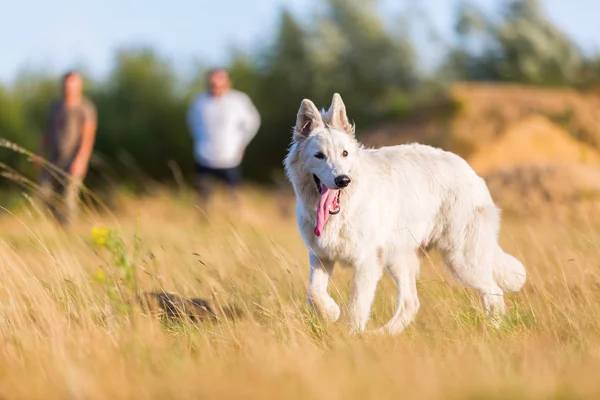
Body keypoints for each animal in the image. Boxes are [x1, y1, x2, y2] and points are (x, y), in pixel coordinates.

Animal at [284, 94, 528, 334]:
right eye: (319, 155)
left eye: (345, 154)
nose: (343, 180)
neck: (344, 210)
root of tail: (470, 171)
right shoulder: (320, 256)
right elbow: (314, 292)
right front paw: (331, 312)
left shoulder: (366, 263)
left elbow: (356, 308)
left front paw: (350, 337)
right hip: (401, 260)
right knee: (411, 303)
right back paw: (382, 336)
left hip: (461, 260)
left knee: (493, 292)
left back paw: (493, 330)